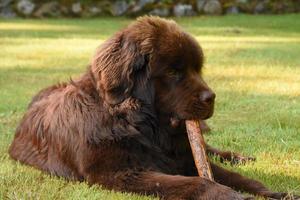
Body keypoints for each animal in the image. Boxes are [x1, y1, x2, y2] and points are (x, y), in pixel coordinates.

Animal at [9, 16, 290, 199]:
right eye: (174, 72)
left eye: (197, 69)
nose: (211, 97)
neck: (136, 123)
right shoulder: (119, 172)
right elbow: (199, 182)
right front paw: (232, 196)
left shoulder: (183, 157)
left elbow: (236, 177)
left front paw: (271, 191)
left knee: (210, 150)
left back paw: (239, 156)